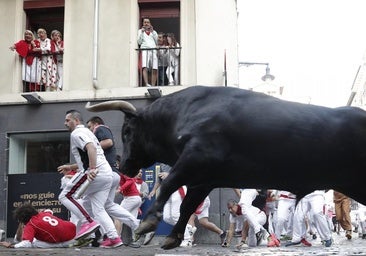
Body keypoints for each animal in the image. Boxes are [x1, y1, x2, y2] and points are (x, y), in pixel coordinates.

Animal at [85, 85, 364, 248]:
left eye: (127, 131)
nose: (124, 166)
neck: (183, 112)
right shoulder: (204, 178)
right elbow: (187, 206)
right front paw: (174, 236)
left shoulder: (196, 158)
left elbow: (168, 184)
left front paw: (149, 222)